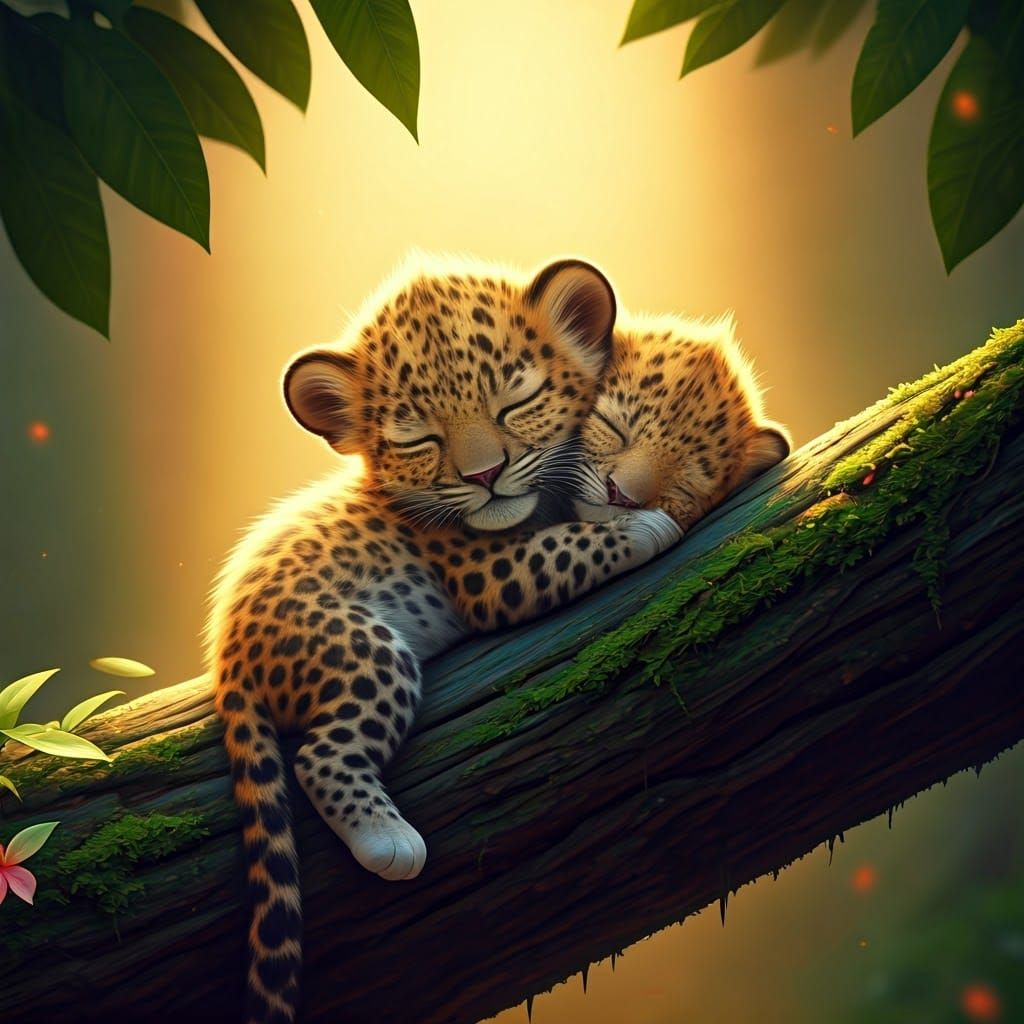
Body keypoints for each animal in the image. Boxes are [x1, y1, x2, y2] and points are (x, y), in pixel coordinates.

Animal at [205, 257, 682, 1024]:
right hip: (364, 650)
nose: (484, 475)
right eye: (416, 438)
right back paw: (388, 841)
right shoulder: (489, 574)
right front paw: (645, 526)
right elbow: (570, 546)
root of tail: (227, 660)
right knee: (319, 755)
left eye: (516, 403)